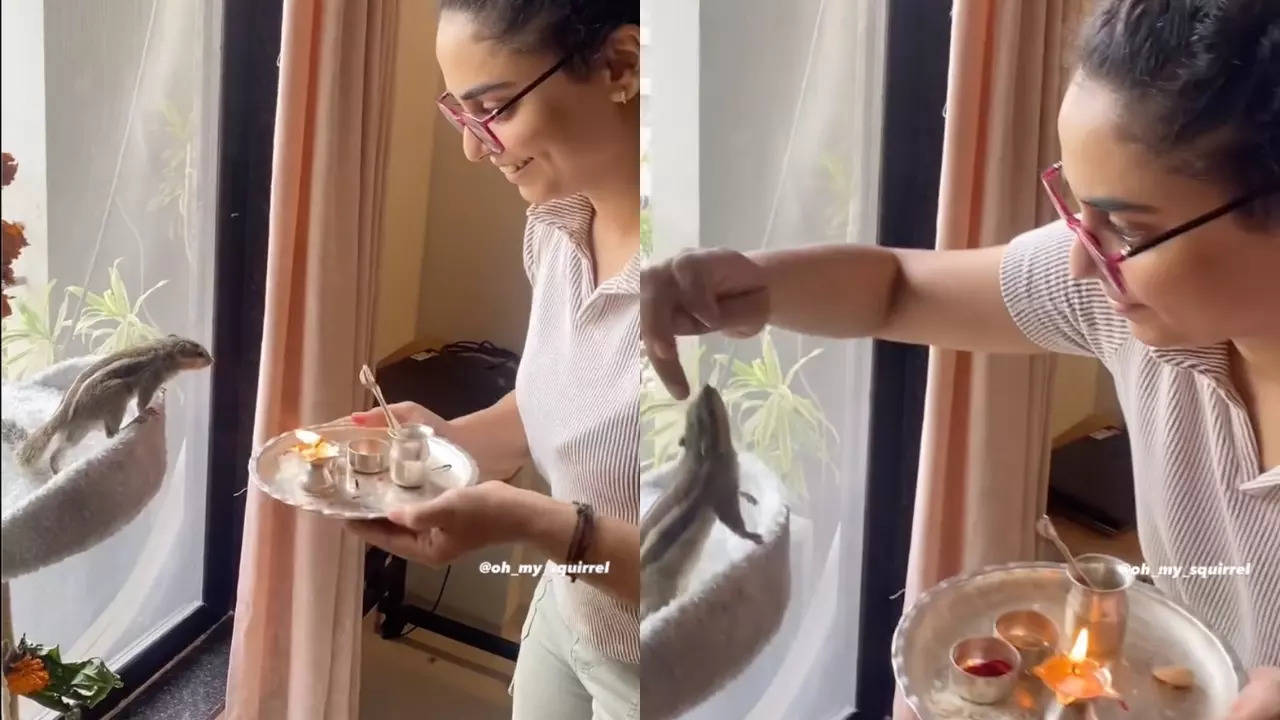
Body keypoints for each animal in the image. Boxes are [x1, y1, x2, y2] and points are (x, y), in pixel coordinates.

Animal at [10, 333, 212, 474]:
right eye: (200, 353)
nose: (212, 360)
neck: (164, 351)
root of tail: (64, 414)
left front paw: (162, 390)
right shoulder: (150, 379)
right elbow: (142, 401)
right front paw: (145, 411)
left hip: (78, 433)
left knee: (57, 453)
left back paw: (58, 471)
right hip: (116, 398)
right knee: (111, 434)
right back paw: (132, 423)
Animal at [640, 384, 757, 614]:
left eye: (693, 410)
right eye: (708, 413)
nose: (706, 386)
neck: (698, 456)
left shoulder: (730, 484)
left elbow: (739, 494)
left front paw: (749, 497)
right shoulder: (720, 491)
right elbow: (733, 520)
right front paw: (753, 536)